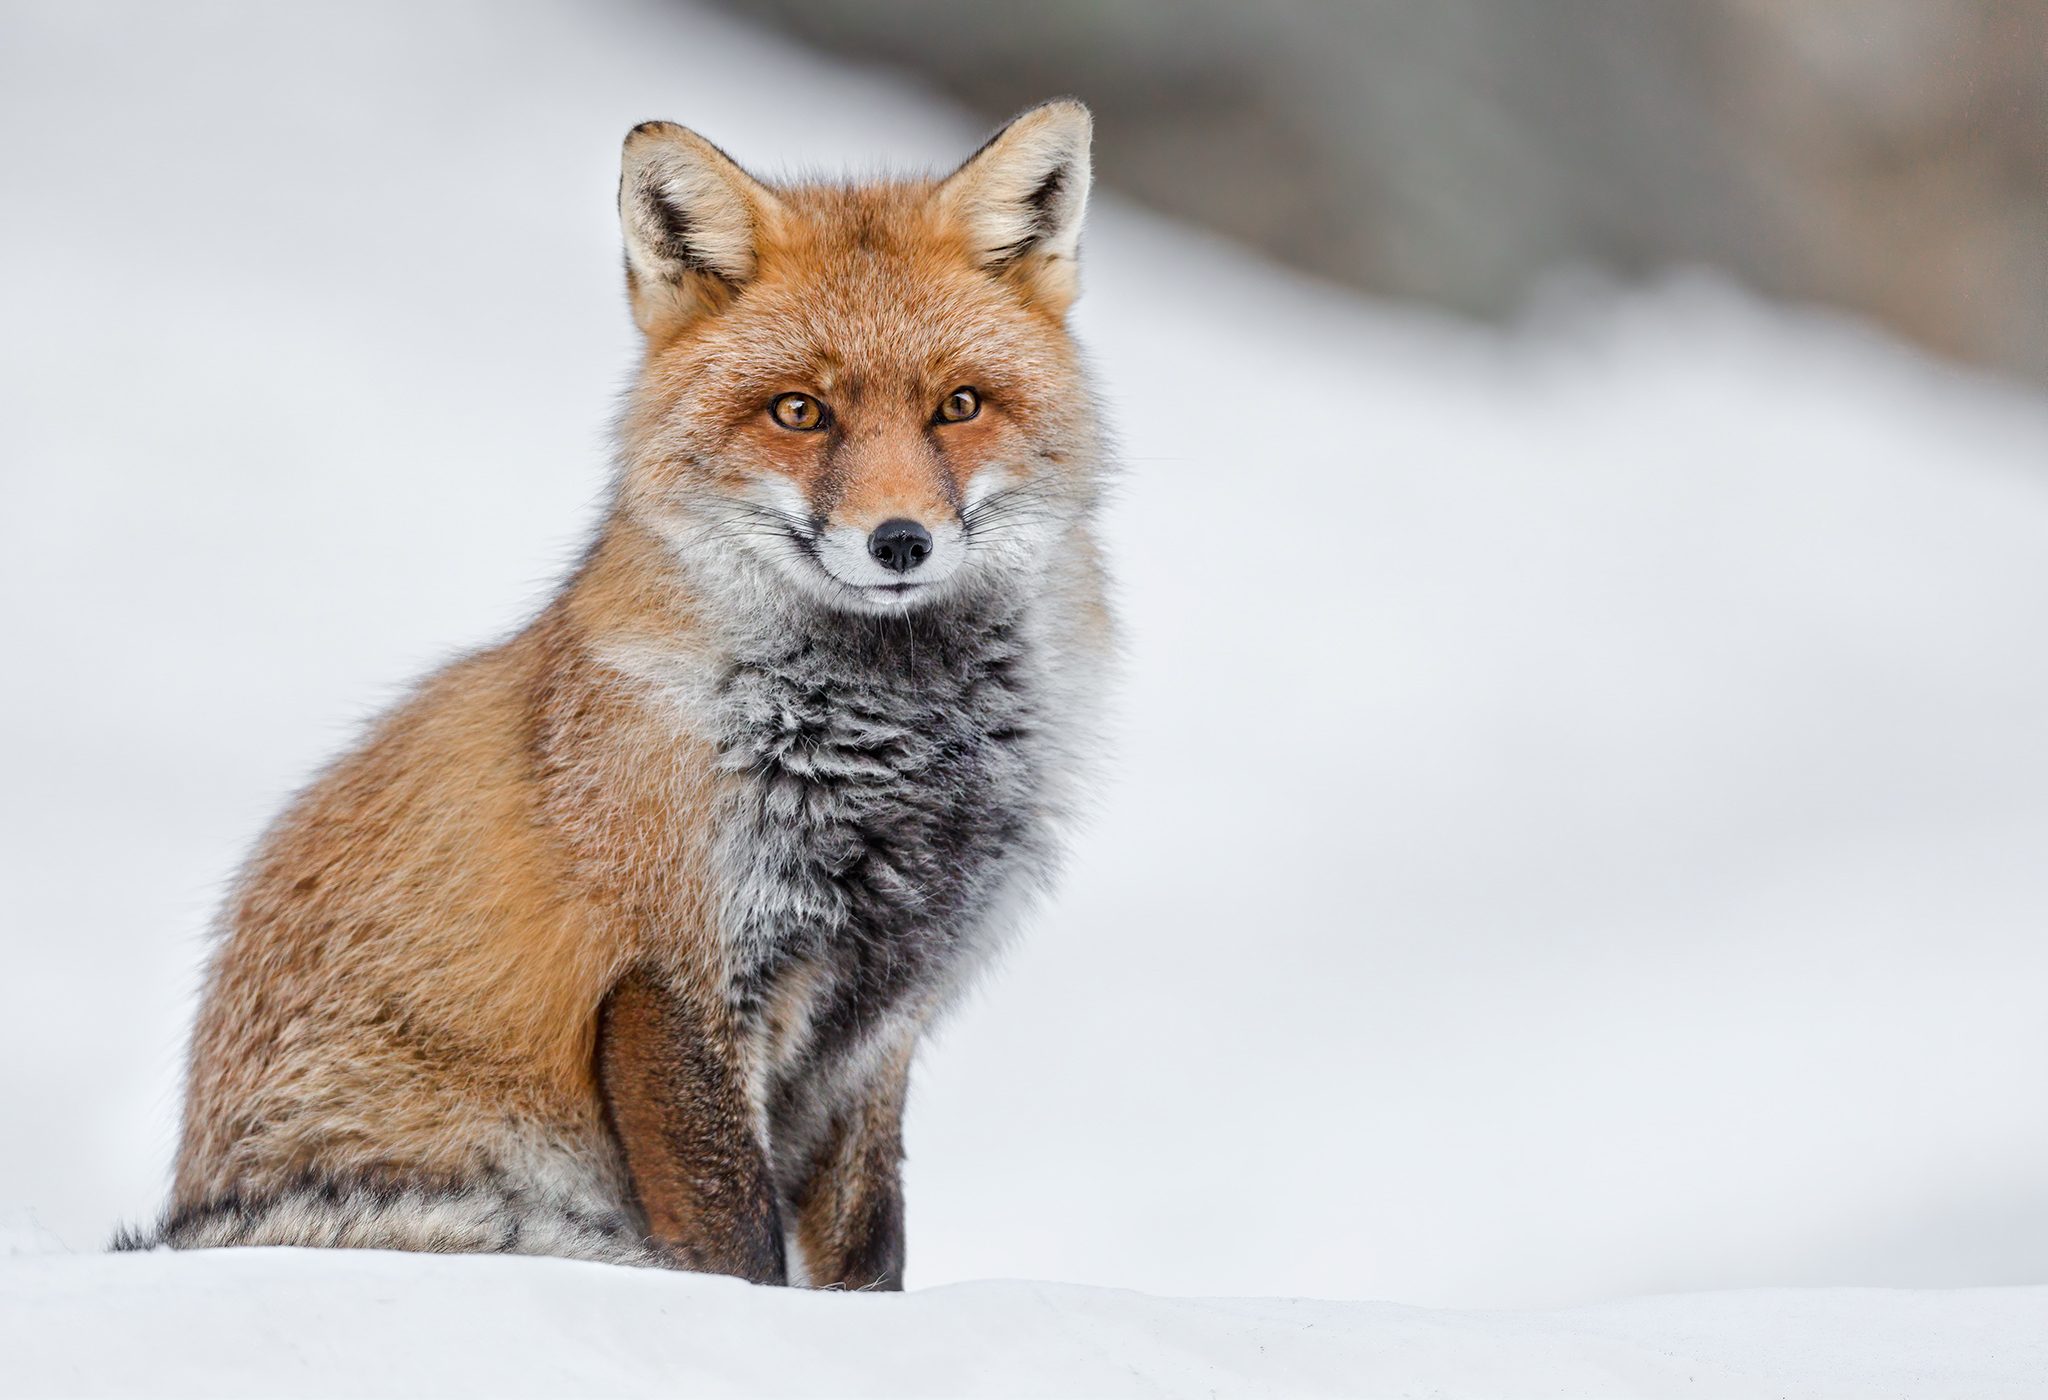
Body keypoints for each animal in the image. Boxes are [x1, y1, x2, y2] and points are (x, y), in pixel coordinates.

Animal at [117, 101, 1111, 1291]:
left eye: (958, 406)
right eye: (799, 412)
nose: (899, 541)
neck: (889, 747)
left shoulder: (882, 1013)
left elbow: (869, 1246)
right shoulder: (672, 976)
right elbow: (738, 1247)